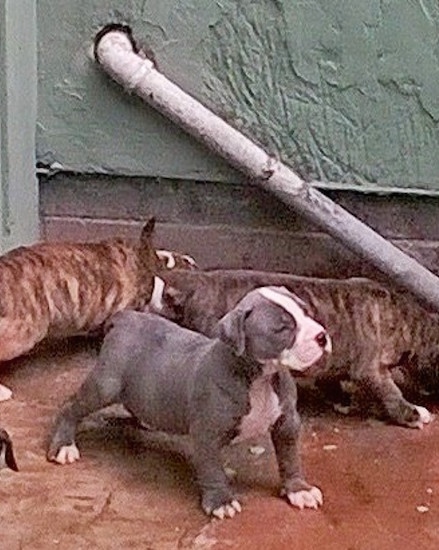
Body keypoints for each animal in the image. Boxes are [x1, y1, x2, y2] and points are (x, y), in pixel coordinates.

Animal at [47, 288, 330, 520]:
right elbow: (212, 469)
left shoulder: (287, 423)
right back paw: (63, 445)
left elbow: (290, 458)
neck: (260, 378)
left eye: (306, 312)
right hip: (106, 385)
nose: (322, 336)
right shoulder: (206, 433)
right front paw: (221, 501)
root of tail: (126, 318)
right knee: (71, 406)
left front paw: (298, 490)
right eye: (282, 329)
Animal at [154, 270, 436, 430]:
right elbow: (391, 393)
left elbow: (330, 378)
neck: (409, 322)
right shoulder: (371, 369)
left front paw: (341, 400)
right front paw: (413, 414)